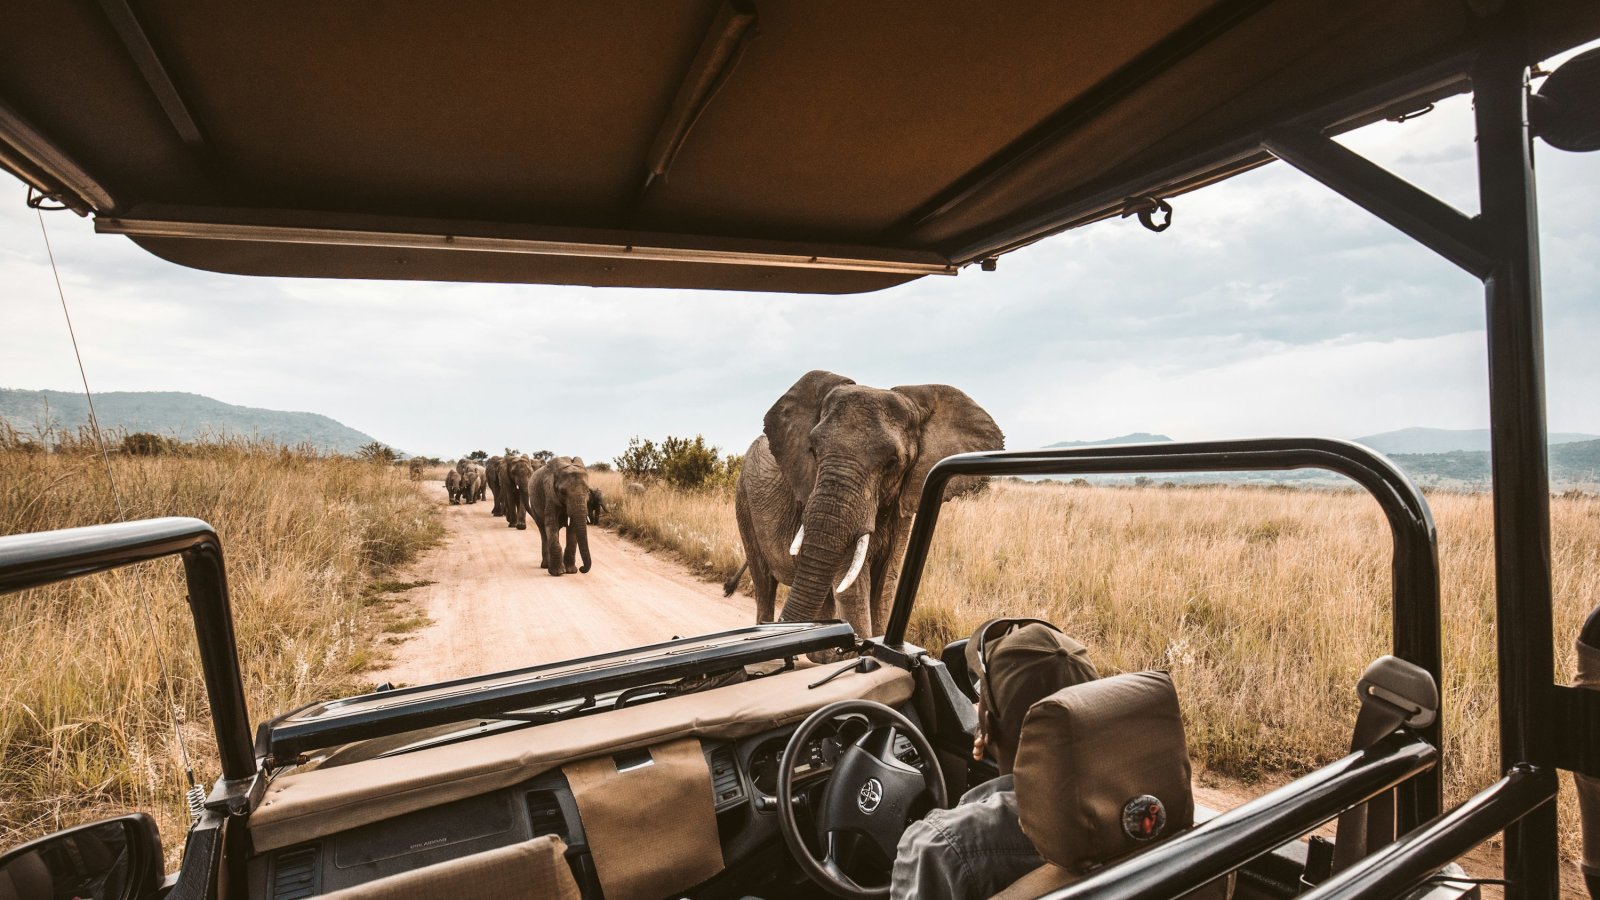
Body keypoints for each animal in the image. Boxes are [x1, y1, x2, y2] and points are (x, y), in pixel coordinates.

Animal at [732, 370, 1003, 641]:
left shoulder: (903, 504)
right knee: (765, 585)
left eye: (893, 462)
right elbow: (853, 590)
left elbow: (884, 588)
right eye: (813, 450)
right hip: (743, 500)